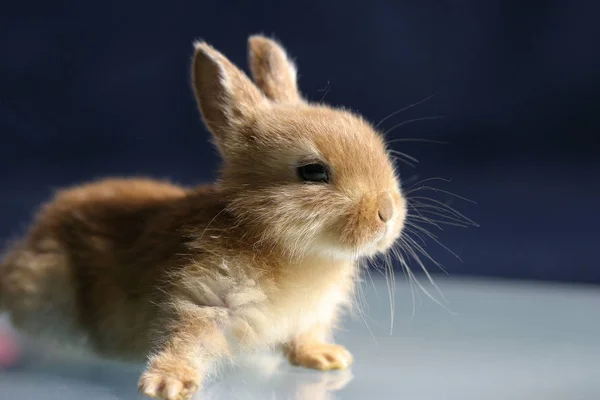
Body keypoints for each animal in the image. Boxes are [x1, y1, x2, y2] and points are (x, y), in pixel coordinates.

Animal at [0, 35, 408, 400]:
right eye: (313, 172)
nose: (387, 211)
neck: (283, 247)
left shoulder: (310, 315)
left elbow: (303, 337)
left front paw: (326, 357)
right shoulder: (204, 297)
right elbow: (187, 339)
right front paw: (168, 384)